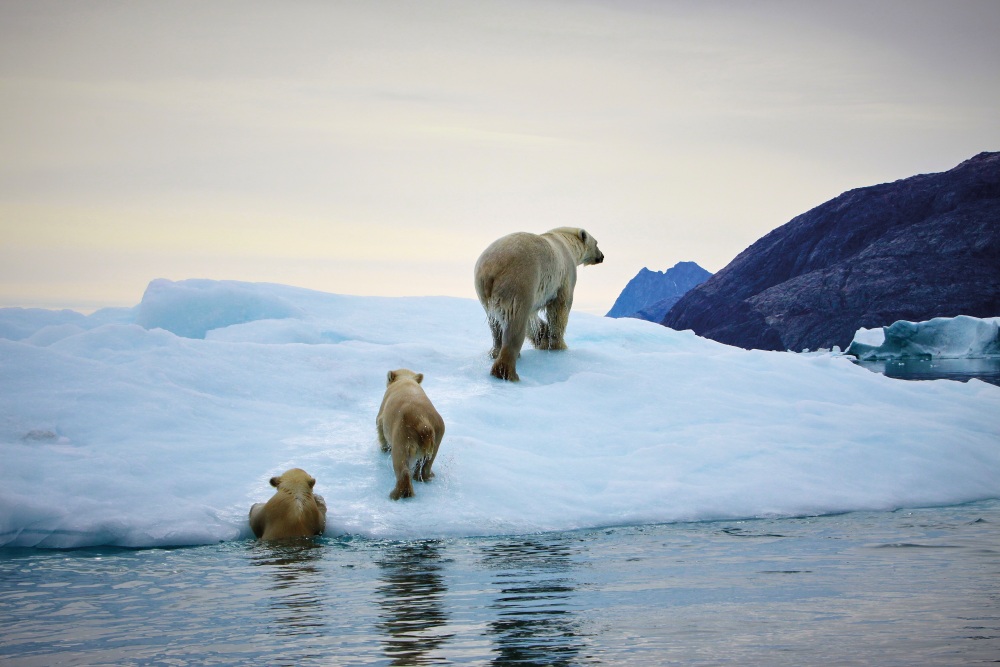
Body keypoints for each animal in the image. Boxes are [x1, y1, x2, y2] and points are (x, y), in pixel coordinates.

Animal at [376, 370, 448, 500]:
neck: (405, 379)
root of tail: (423, 422)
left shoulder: (383, 409)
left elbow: (380, 425)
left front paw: (384, 449)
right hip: (438, 432)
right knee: (427, 462)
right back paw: (425, 476)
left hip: (402, 433)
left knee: (401, 463)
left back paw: (396, 493)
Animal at [474, 227, 604, 380]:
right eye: (596, 243)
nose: (602, 256)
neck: (566, 241)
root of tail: (491, 269)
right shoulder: (564, 276)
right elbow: (560, 309)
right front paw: (558, 346)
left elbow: (532, 319)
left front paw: (543, 336)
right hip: (519, 282)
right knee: (515, 323)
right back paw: (507, 372)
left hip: (484, 293)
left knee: (495, 323)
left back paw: (495, 352)